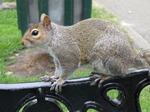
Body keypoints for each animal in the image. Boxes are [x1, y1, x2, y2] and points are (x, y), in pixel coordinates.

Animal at [20, 13, 149, 92]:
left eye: (35, 32)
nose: (22, 42)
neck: (55, 38)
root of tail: (130, 57)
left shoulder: (68, 56)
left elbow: (67, 70)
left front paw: (60, 81)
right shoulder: (57, 60)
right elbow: (58, 71)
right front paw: (52, 77)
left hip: (106, 58)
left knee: (119, 72)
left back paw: (103, 76)